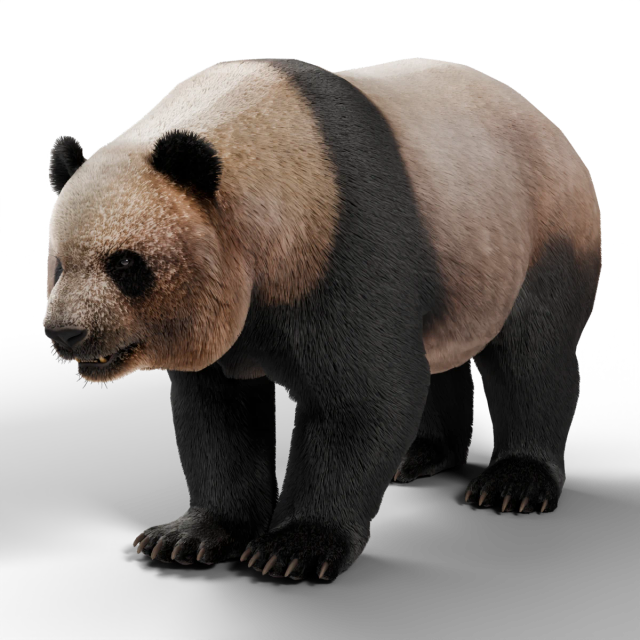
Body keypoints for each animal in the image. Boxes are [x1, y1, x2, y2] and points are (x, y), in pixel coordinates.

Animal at [44, 58, 601, 580]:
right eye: (59, 265)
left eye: (125, 264)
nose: (66, 333)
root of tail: (543, 118)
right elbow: (217, 412)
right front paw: (189, 535)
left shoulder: (340, 235)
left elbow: (363, 395)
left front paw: (295, 548)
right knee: (437, 356)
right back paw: (422, 454)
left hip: (537, 224)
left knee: (532, 353)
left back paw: (514, 482)